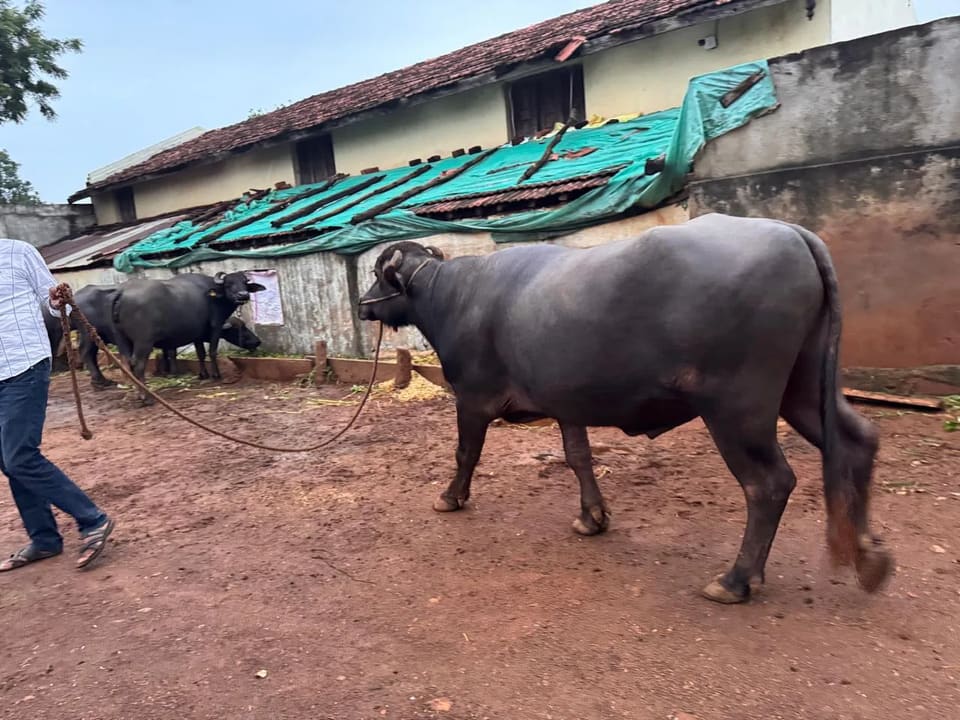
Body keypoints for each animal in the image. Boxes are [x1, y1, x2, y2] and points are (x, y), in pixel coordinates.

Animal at [357, 213, 892, 603]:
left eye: (378, 275)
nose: (363, 305)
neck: (452, 295)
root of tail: (793, 233)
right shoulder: (567, 402)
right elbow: (578, 457)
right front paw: (592, 517)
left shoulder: (471, 398)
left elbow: (465, 453)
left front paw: (450, 497)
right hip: (802, 385)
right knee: (857, 439)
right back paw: (869, 555)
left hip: (737, 405)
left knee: (770, 483)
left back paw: (736, 579)